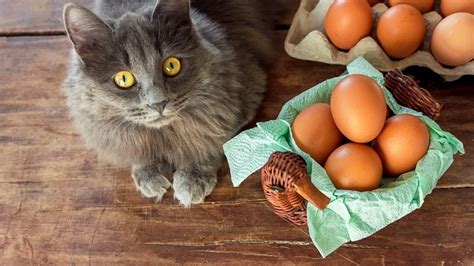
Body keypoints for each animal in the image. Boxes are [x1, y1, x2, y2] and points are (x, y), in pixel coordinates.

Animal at [62, 0, 282, 207]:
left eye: (171, 65)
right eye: (123, 79)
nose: (158, 103)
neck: (163, 134)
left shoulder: (246, 92)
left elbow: (210, 139)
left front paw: (192, 178)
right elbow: (138, 147)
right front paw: (149, 173)